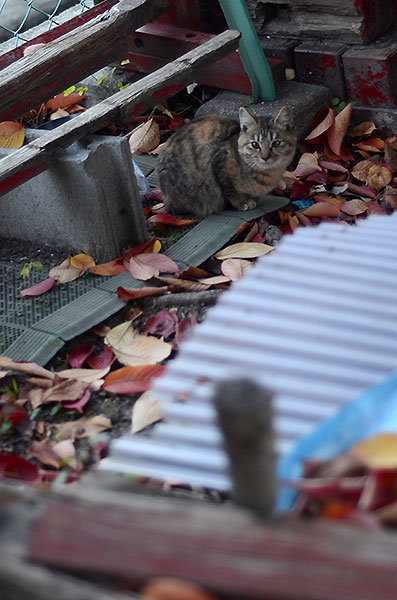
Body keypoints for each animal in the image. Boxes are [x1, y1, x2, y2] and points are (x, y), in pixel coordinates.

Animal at [156, 105, 296, 218]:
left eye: (276, 143)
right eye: (255, 144)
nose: (265, 157)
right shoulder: (220, 166)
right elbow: (231, 191)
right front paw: (243, 202)